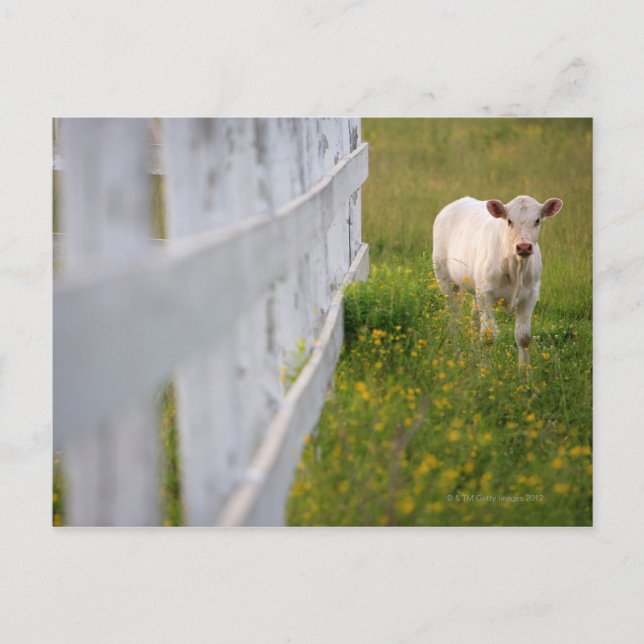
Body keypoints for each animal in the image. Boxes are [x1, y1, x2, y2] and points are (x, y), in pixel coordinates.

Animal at [432, 195, 563, 366]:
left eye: (537, 220)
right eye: (509, 221)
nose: (524, 247)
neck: (515, 268)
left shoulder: (531, 294)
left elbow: (523, 337)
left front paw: (524, 372)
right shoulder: (486, 293)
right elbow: (488, 335)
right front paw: (485, 370)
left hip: (476, 288)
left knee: (474, 320)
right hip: (445, 280)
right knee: (454, 319)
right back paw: (457, 357)